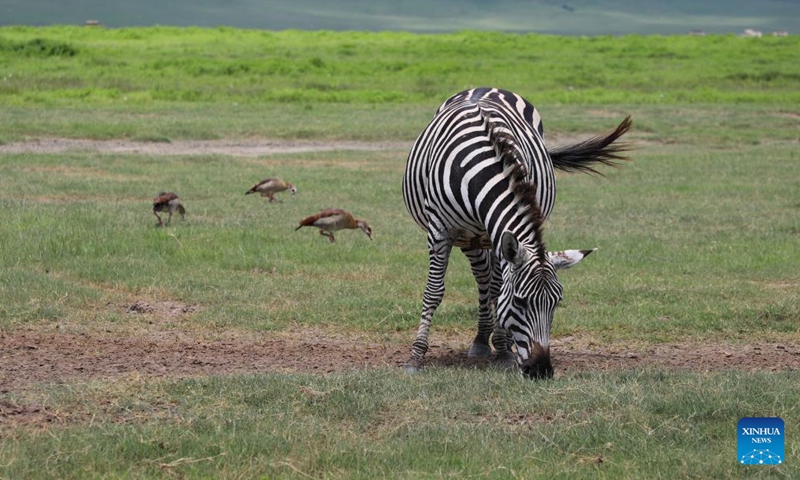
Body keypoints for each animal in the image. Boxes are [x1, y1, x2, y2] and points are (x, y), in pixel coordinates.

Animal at [400, 87, 632, 378]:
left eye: (557, 303)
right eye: (521, 302)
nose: (541, 370)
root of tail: (484, 87)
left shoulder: (497, 235)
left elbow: (499, 290)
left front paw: (503, 350)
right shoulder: (440, 230)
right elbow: (434, 291)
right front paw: (416, 356)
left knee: (490, 281)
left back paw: (496, 341)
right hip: (469, 238)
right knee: (482, 278)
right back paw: (481, 341)